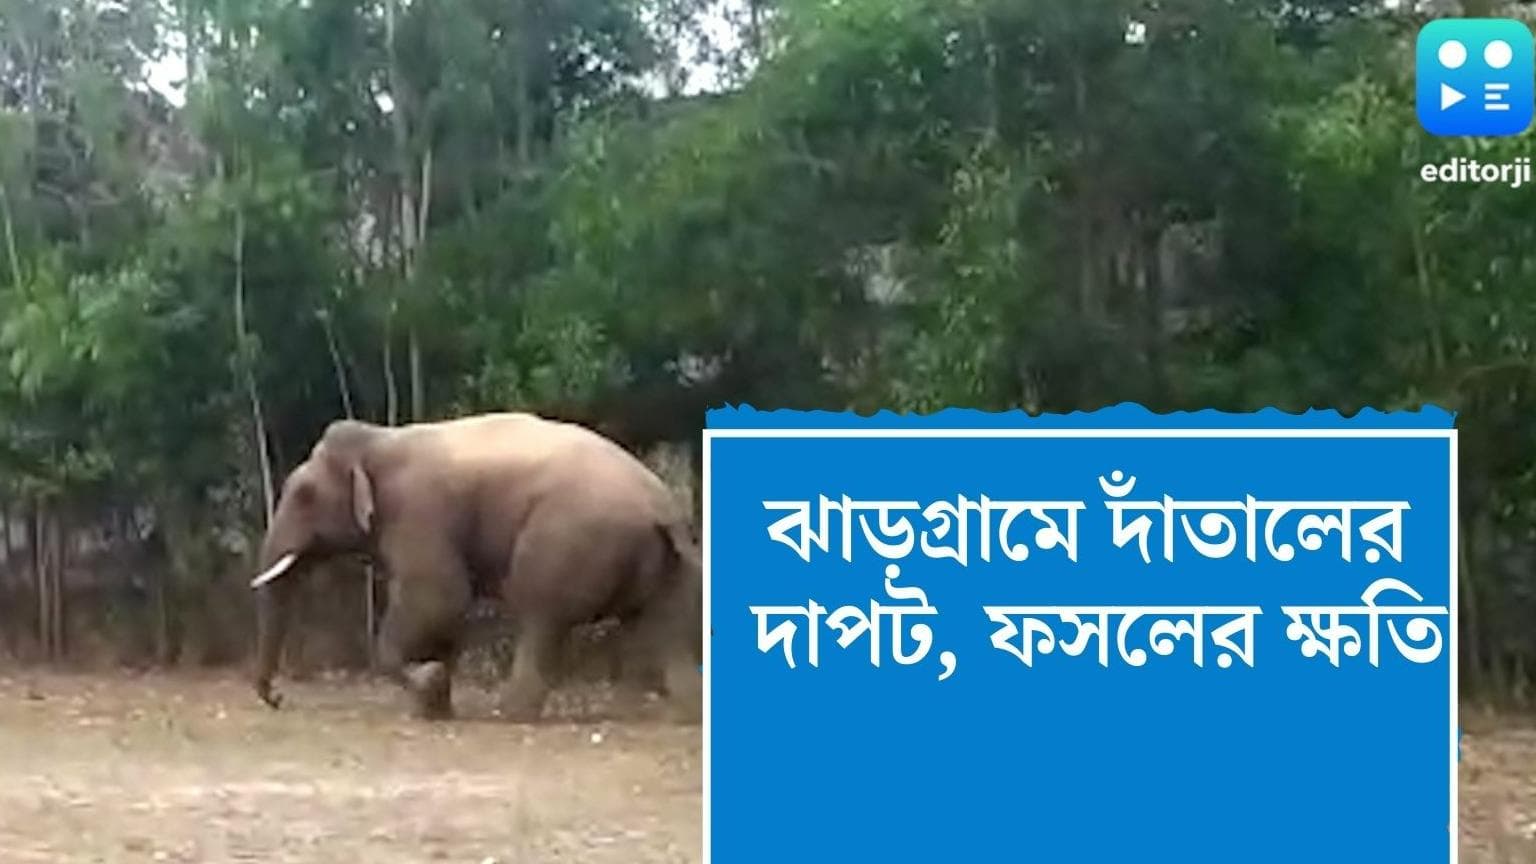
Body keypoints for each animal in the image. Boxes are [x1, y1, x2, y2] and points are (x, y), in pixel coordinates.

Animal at [248, 411, 702, 723]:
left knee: (542, 615)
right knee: (663, 625)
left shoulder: (419, 511)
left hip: (569, 541)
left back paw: (512, 714)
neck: (380, 438)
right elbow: (447, 611)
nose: (279, 698)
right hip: (665, 564)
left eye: (304, 495)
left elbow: (439, 597)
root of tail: (662, 507)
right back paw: (688, 713)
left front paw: (429, 681)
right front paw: (434, 708)